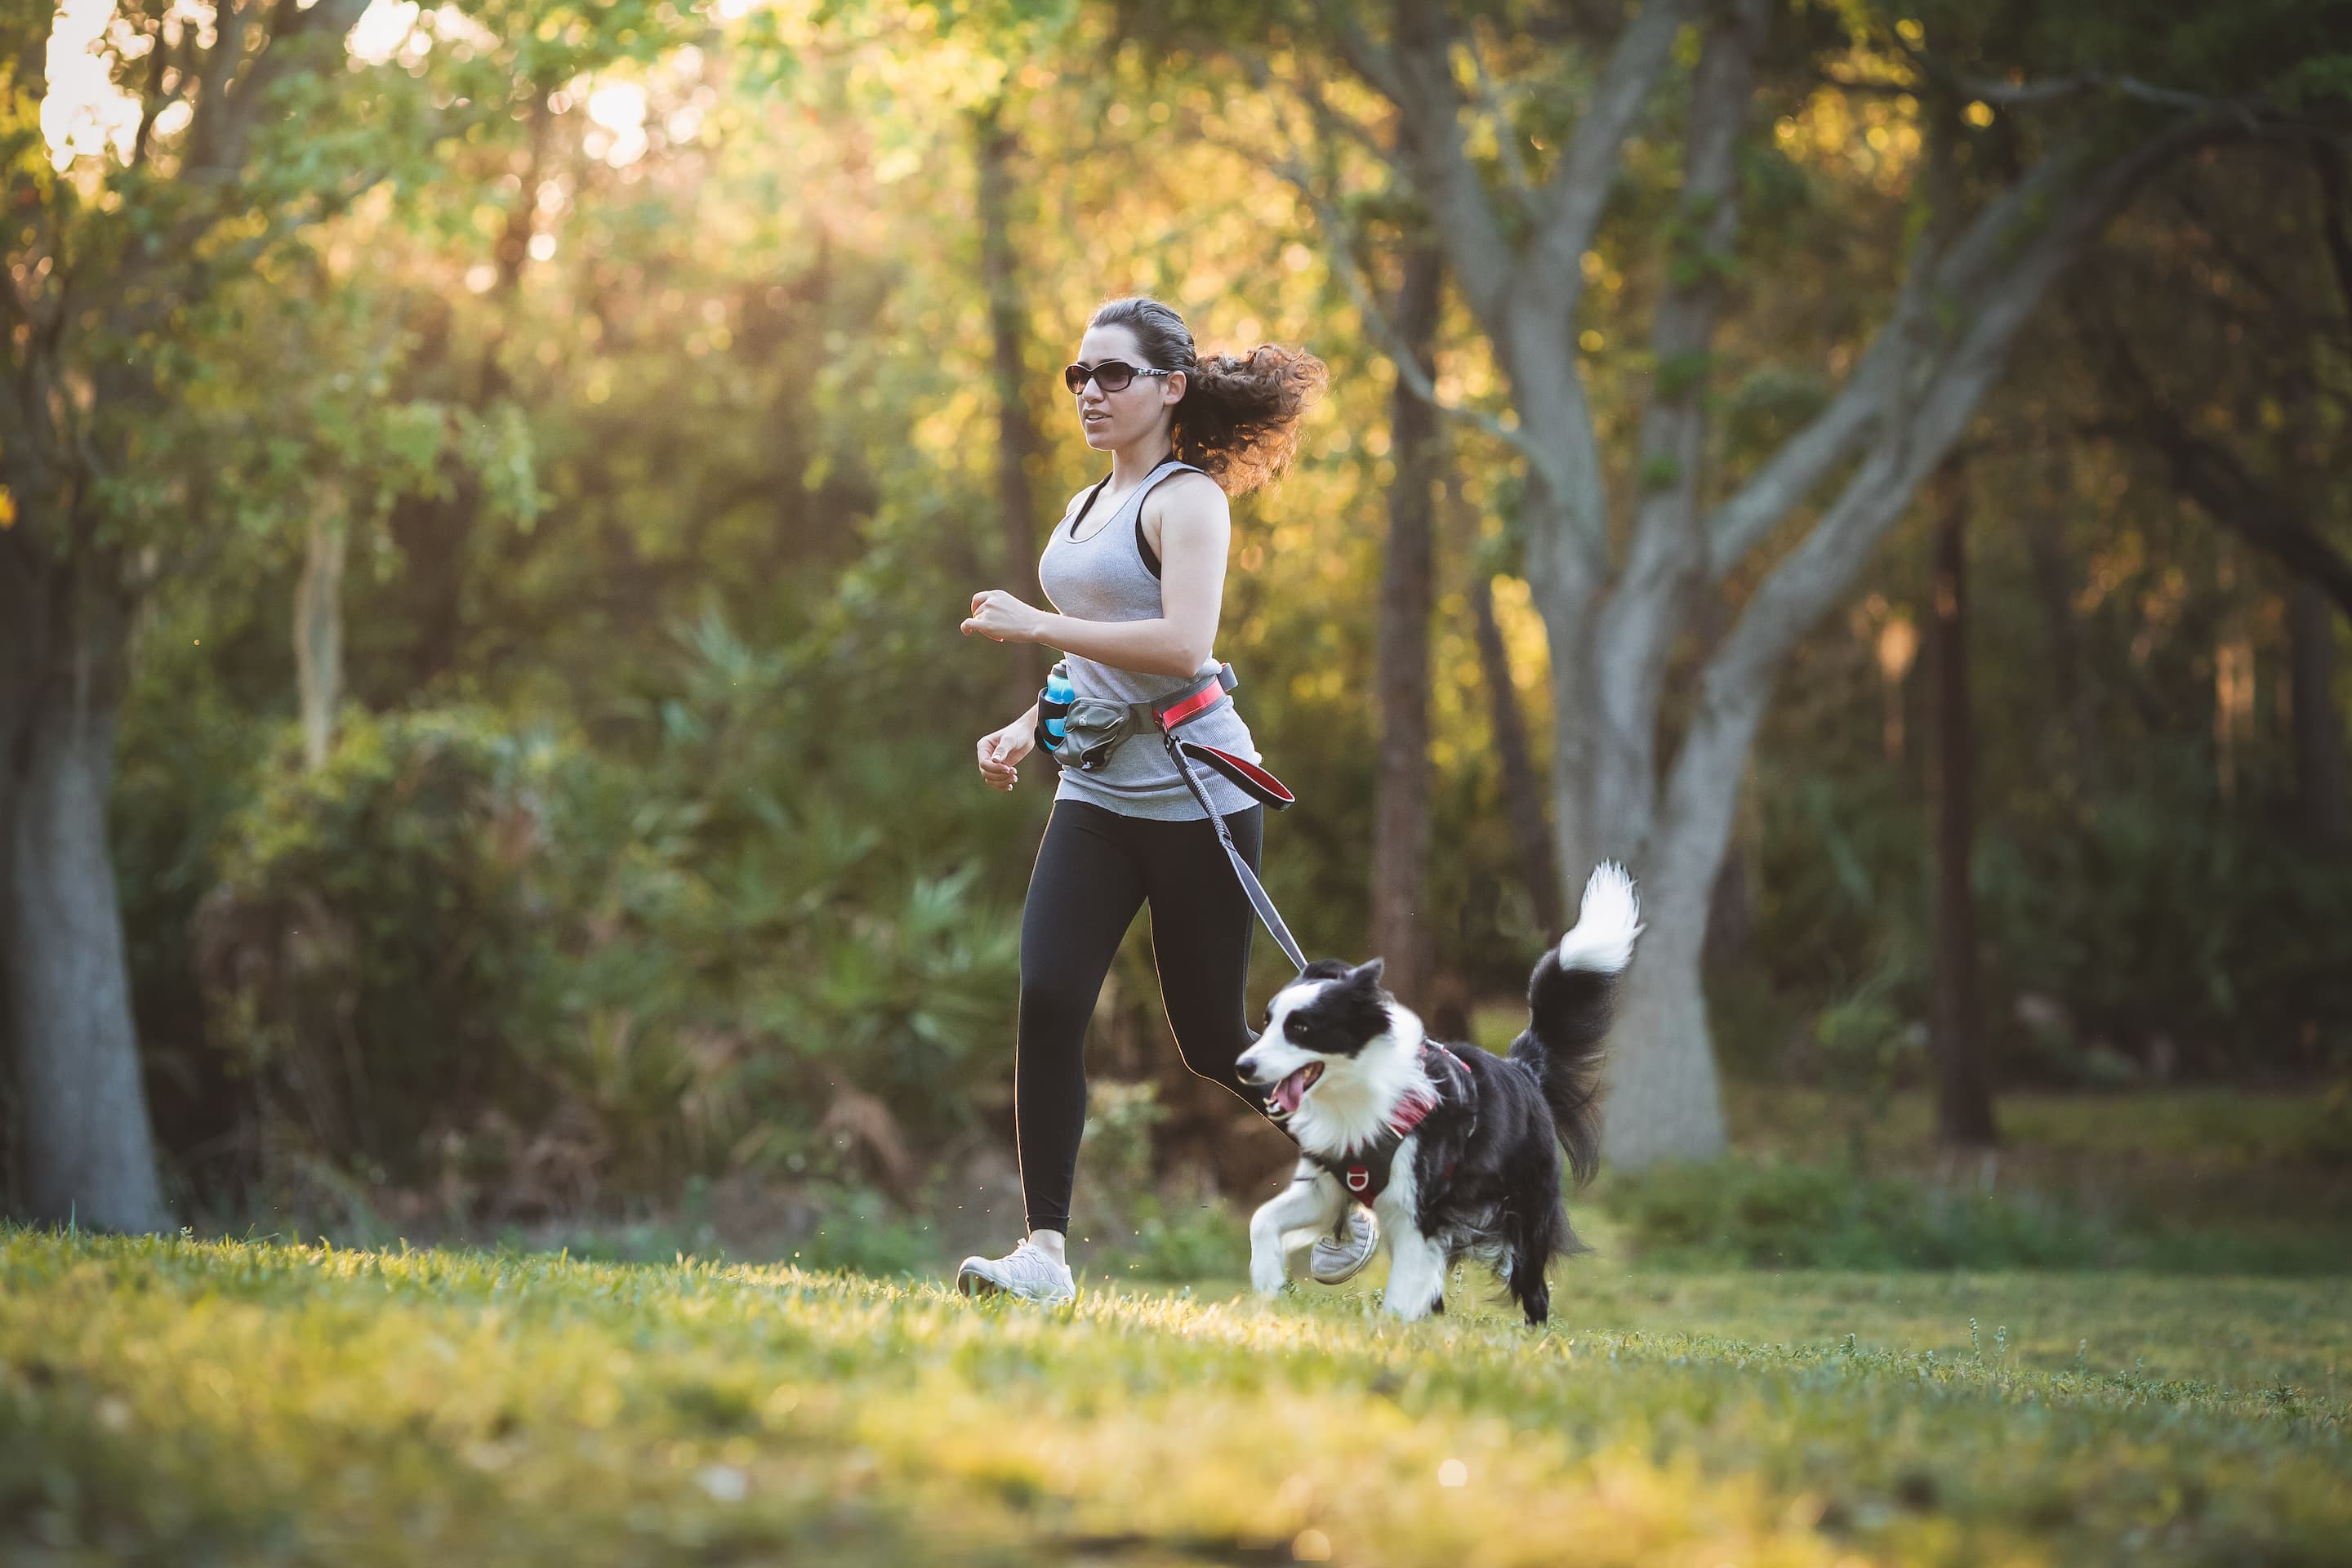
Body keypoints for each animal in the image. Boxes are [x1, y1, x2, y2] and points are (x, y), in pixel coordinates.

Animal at [1241, 865, 1646, 1335]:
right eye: (1267, 1023)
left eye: (1301, 1028)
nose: (1244, 1066)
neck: (1355, 1094)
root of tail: (1524, 1071)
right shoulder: (1328, 1186)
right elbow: (1262, 1219)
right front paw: (1267, 1285)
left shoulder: (1420, 1210)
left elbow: (1403, 1287)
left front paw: (1388, 1331)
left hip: (1528, 1211)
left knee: (1534, 1289)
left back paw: (1535, 1338)